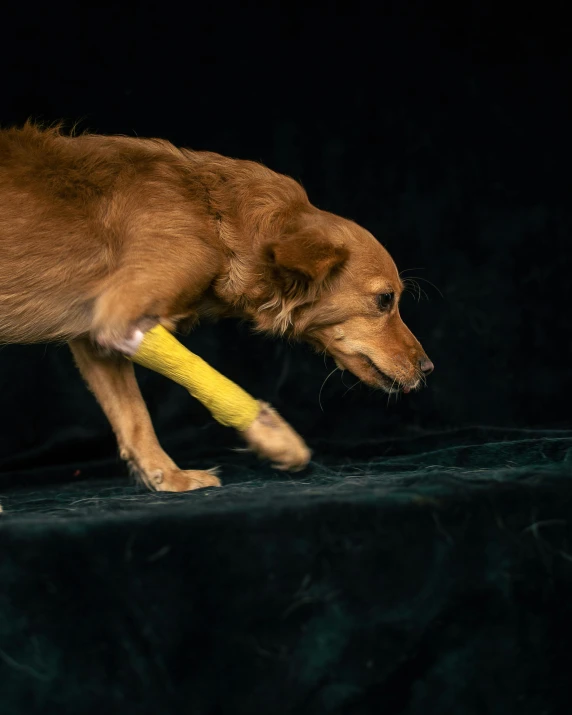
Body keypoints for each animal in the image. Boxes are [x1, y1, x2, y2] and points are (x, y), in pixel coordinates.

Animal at [0, 123, 434, 492]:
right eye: (384, 300)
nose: (428, 368)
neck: (213, 217)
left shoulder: (95, 338)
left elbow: (133, 415)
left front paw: (166, 476)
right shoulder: (120, 316)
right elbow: (197, 371)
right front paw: (271, 434)